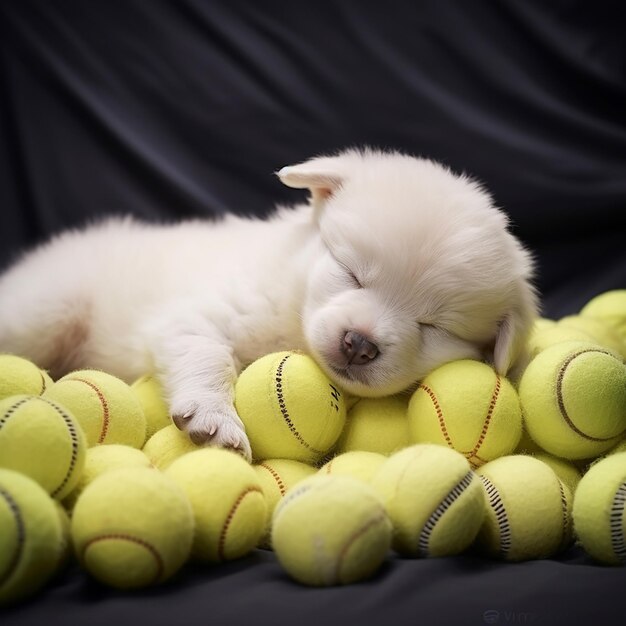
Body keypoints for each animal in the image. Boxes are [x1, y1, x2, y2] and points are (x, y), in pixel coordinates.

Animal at [0, 149, 536, 456]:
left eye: (433, 326)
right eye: (351, 272)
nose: (358, 343)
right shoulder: (198, 313)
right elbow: (209, 354)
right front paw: (214, 417)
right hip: (48, 309)